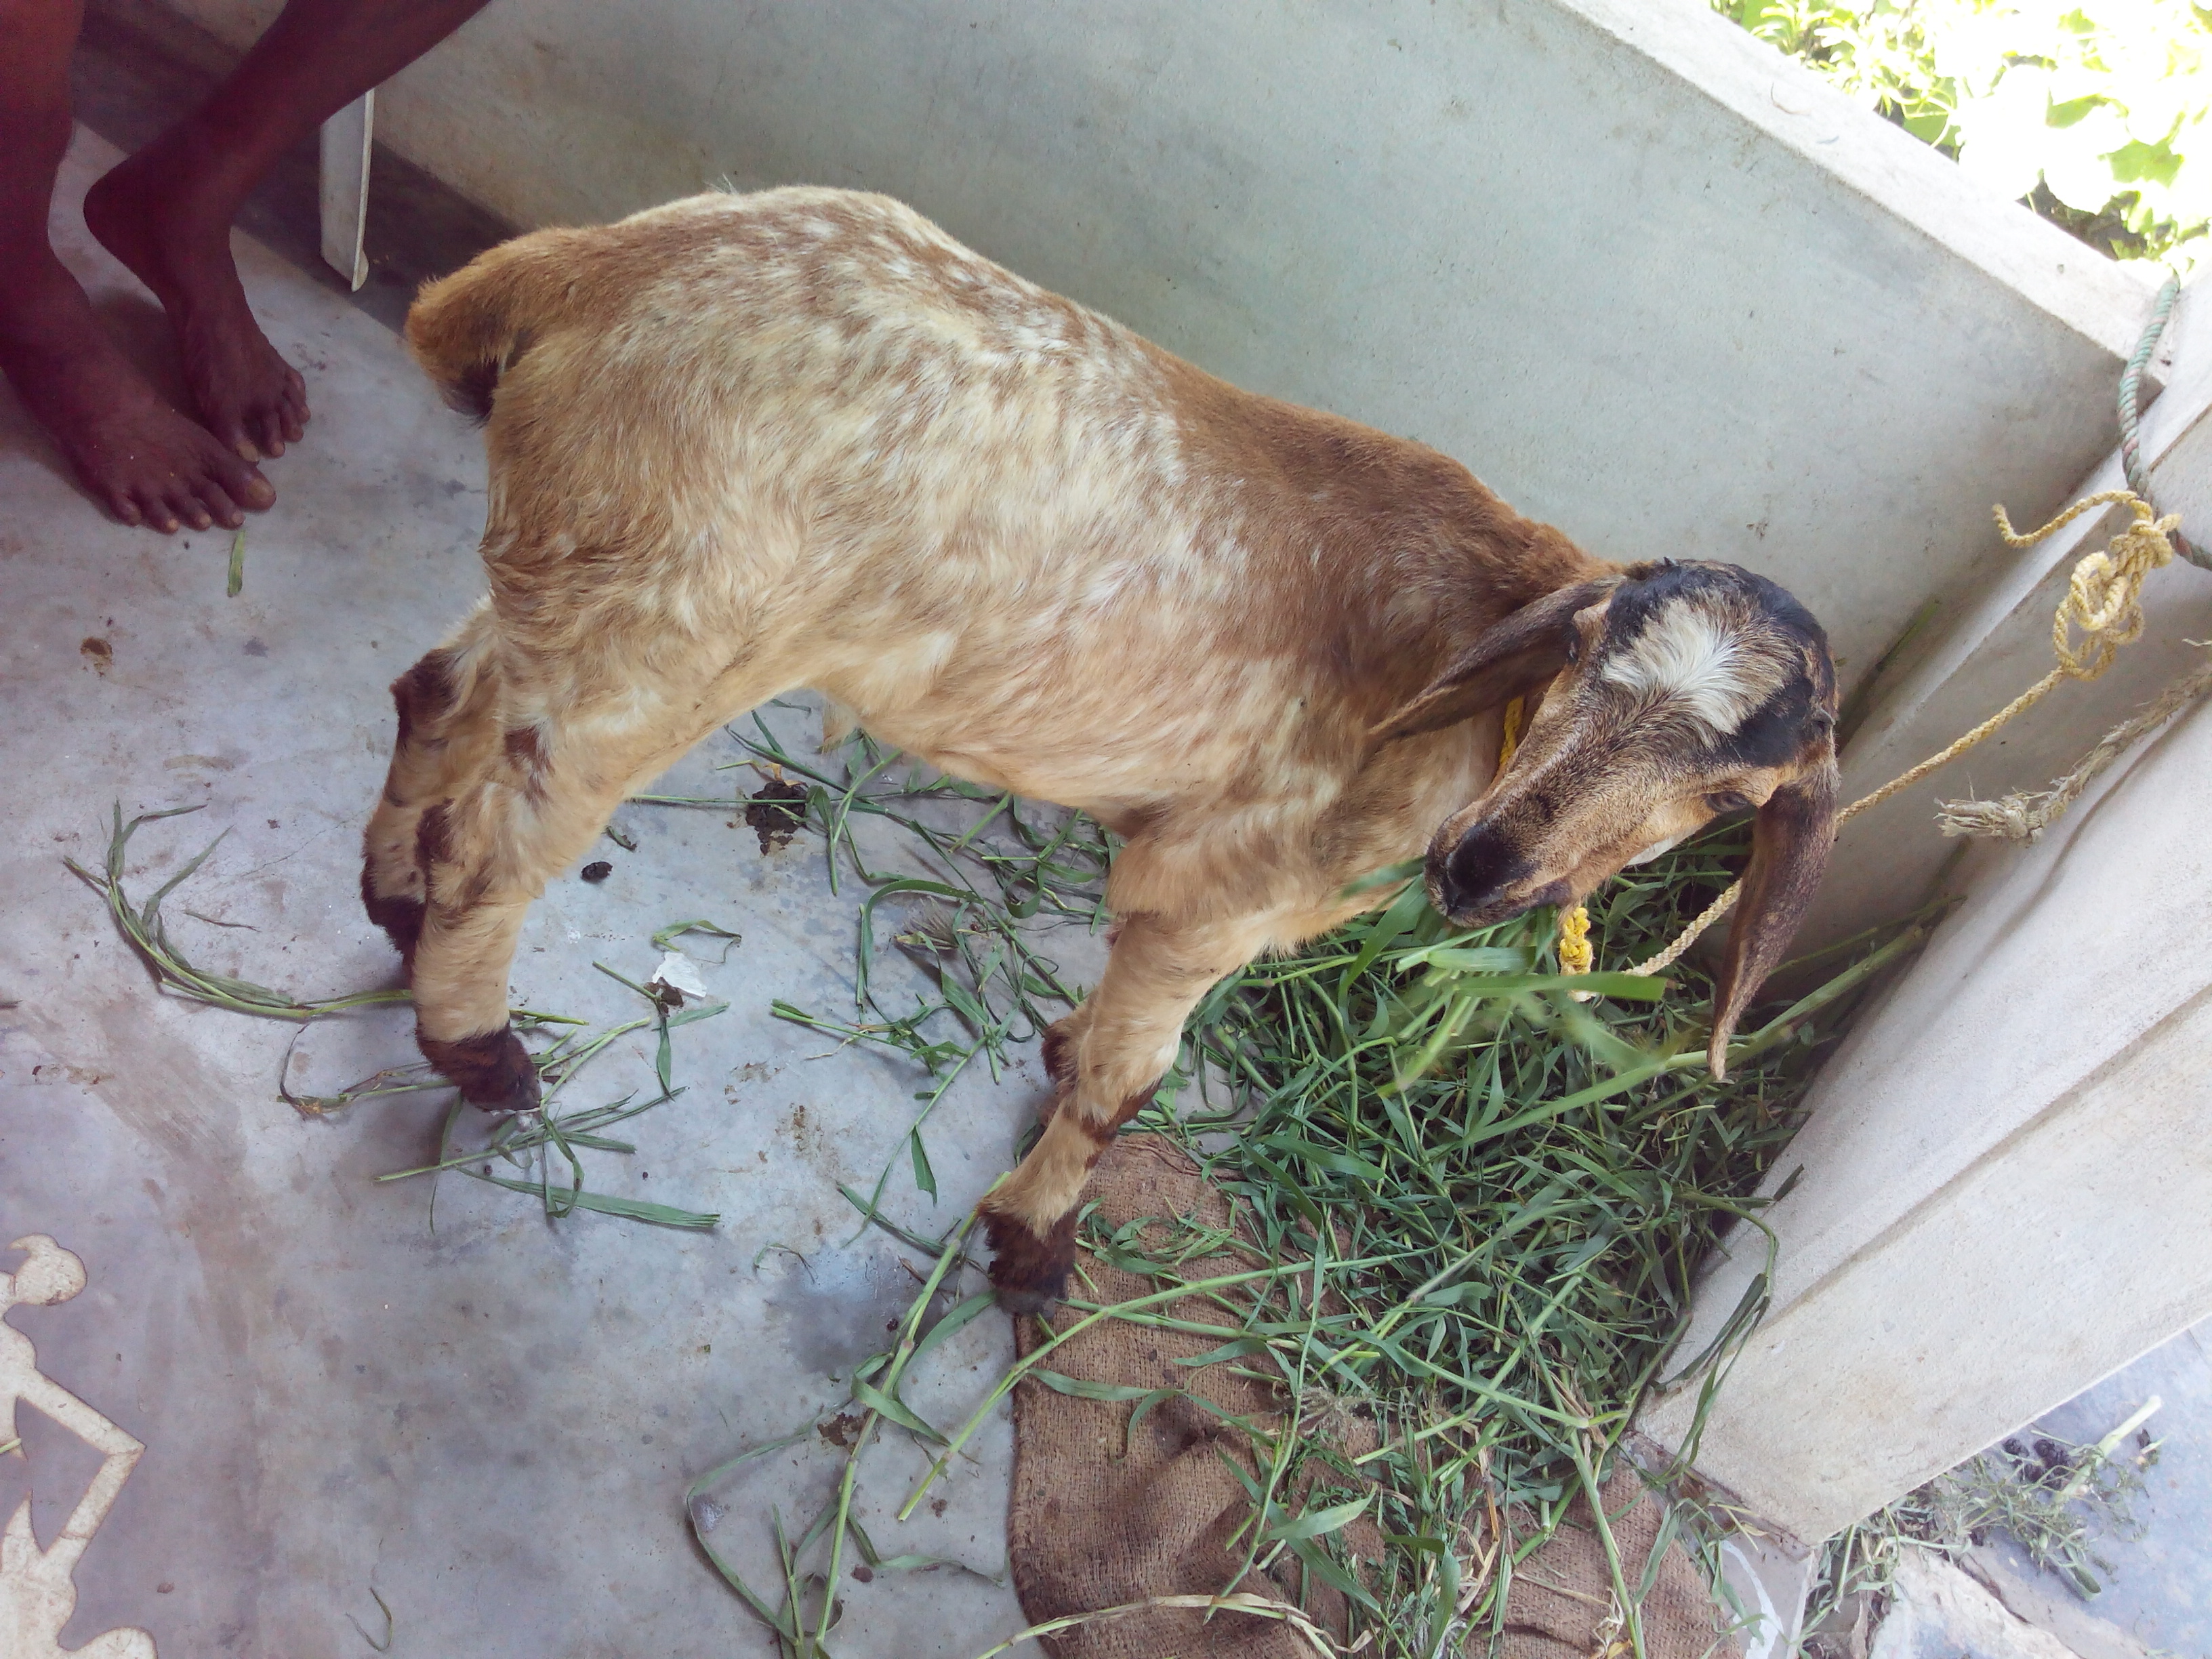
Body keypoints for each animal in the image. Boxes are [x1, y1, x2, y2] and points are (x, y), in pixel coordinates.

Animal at [363, 188, 1840, 1309]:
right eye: (1588, 654)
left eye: (1730, 791)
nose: (1481, 868)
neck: (1481, 681)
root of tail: (583, 268)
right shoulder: (1219, 884)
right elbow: (1137, 1083)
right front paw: (1033, 1244)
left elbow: (1103, 1053)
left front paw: (1059, 1060)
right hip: (672, 629)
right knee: (500, 843)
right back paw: (478, 1047)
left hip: (571, 580)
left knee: (438, 692)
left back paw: (393, 906)